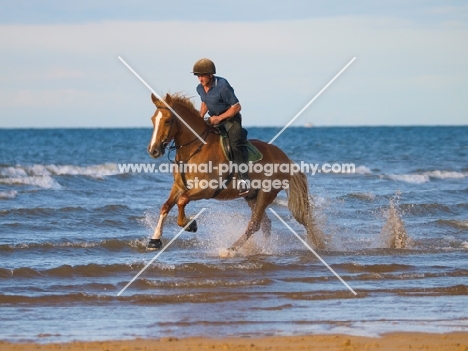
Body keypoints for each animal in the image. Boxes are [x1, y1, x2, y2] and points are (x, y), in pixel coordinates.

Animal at [148, 92, 324, 254]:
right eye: (152, 119)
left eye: (168, 120)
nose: (153, 150)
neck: (195, 148)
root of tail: (285, 158)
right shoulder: (179, 186)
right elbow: (166, 206)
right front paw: (155, 240)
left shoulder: (206, 189)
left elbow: (182, 201)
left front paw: (190, 224)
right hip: (252, 195)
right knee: (265, 224)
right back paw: (264, 249)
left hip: (266, 194)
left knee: (255, 224)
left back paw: (231, 249)